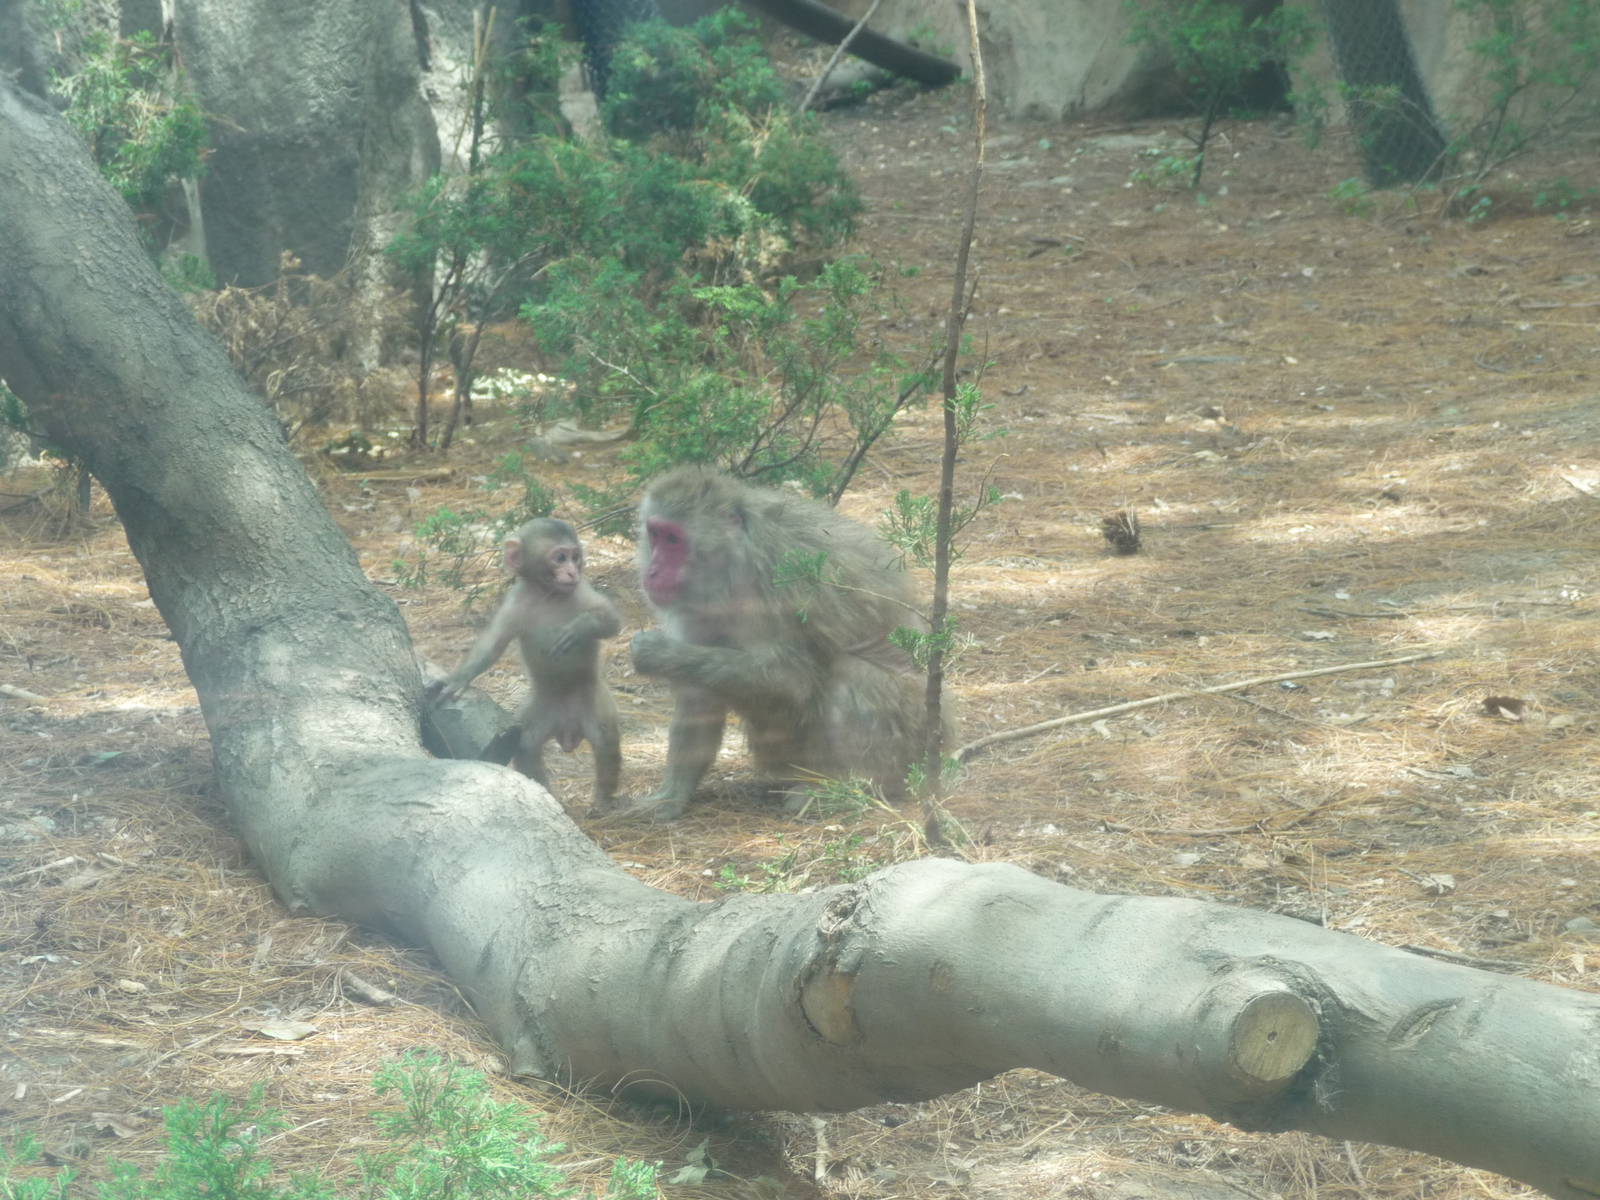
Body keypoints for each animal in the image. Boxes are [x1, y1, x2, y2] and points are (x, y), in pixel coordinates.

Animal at [427, 518, 623, 811]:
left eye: (575, 557)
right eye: (560, 557)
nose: (572, 572)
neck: (547, 594)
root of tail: (568, 727)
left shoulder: (582, 591)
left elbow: (611, 620)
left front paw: (580, 628)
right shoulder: (515, 602)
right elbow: (492, 645)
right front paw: (458, 679)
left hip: (594, 701)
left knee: (605, 740)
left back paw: (602, 800)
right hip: (541, 709)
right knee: (526, 744)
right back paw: (547, 795)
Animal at [628, 467, 931, 820]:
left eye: (673, 539)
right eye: (655, 534)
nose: (652, 571)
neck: (730, 567)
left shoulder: (778, 579)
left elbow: (792, 680)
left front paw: (656, 652)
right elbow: (699, 696)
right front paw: (670, 796)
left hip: (913, 735)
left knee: (853, 672)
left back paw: (849, 787)